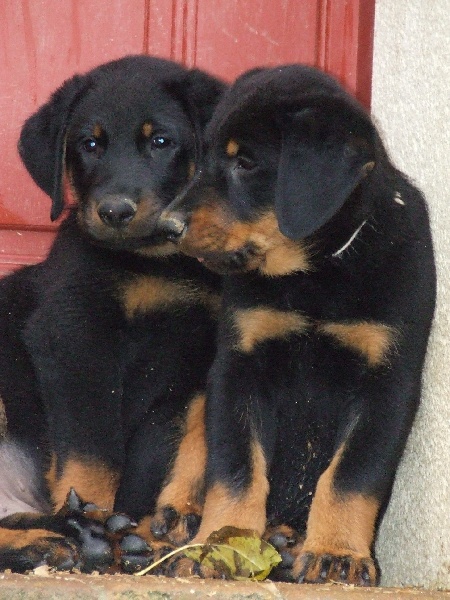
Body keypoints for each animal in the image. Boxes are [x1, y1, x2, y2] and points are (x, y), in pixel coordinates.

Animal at [0, 55, 224, 572]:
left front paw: (173, 516)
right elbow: (92, 452)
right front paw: (99, 520)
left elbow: (189, 436)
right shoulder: (73, 337)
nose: (115, 211)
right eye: (89, 143)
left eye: (161, 141)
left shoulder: (207, 354)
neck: (158, 262)